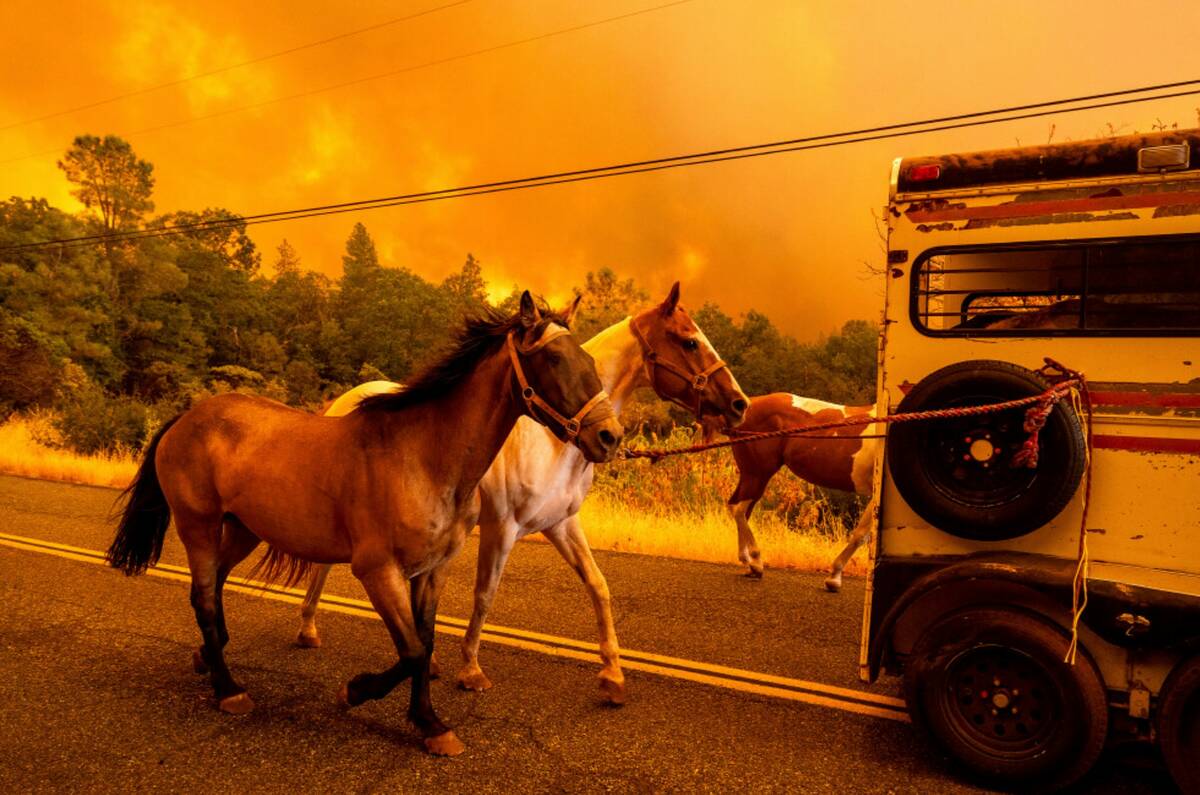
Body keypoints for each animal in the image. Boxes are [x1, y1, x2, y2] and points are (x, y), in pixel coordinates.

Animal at [108, 294, 624, 758]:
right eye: (553, 358)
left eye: (588, 359)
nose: (610, 437)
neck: (423, 456)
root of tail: (186, 418)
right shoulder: (377, 571)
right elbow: (412, 651)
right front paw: (361, 694)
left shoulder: (431, 571)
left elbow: (424, 646)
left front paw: (428, 723)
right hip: (198, 525)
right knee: (203, 596)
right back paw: (228, 689)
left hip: (241, 530)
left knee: (213, 589)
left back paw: (206, 657)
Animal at [295, 284, 744, 706]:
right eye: (689, 341)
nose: (739, 404)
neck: (553, 444)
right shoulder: (502, 529)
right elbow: (485, 595)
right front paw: (471, 669)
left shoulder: (561, 524)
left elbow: (598, 586)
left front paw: (613, 677)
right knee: (323, 568)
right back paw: (308, 628)